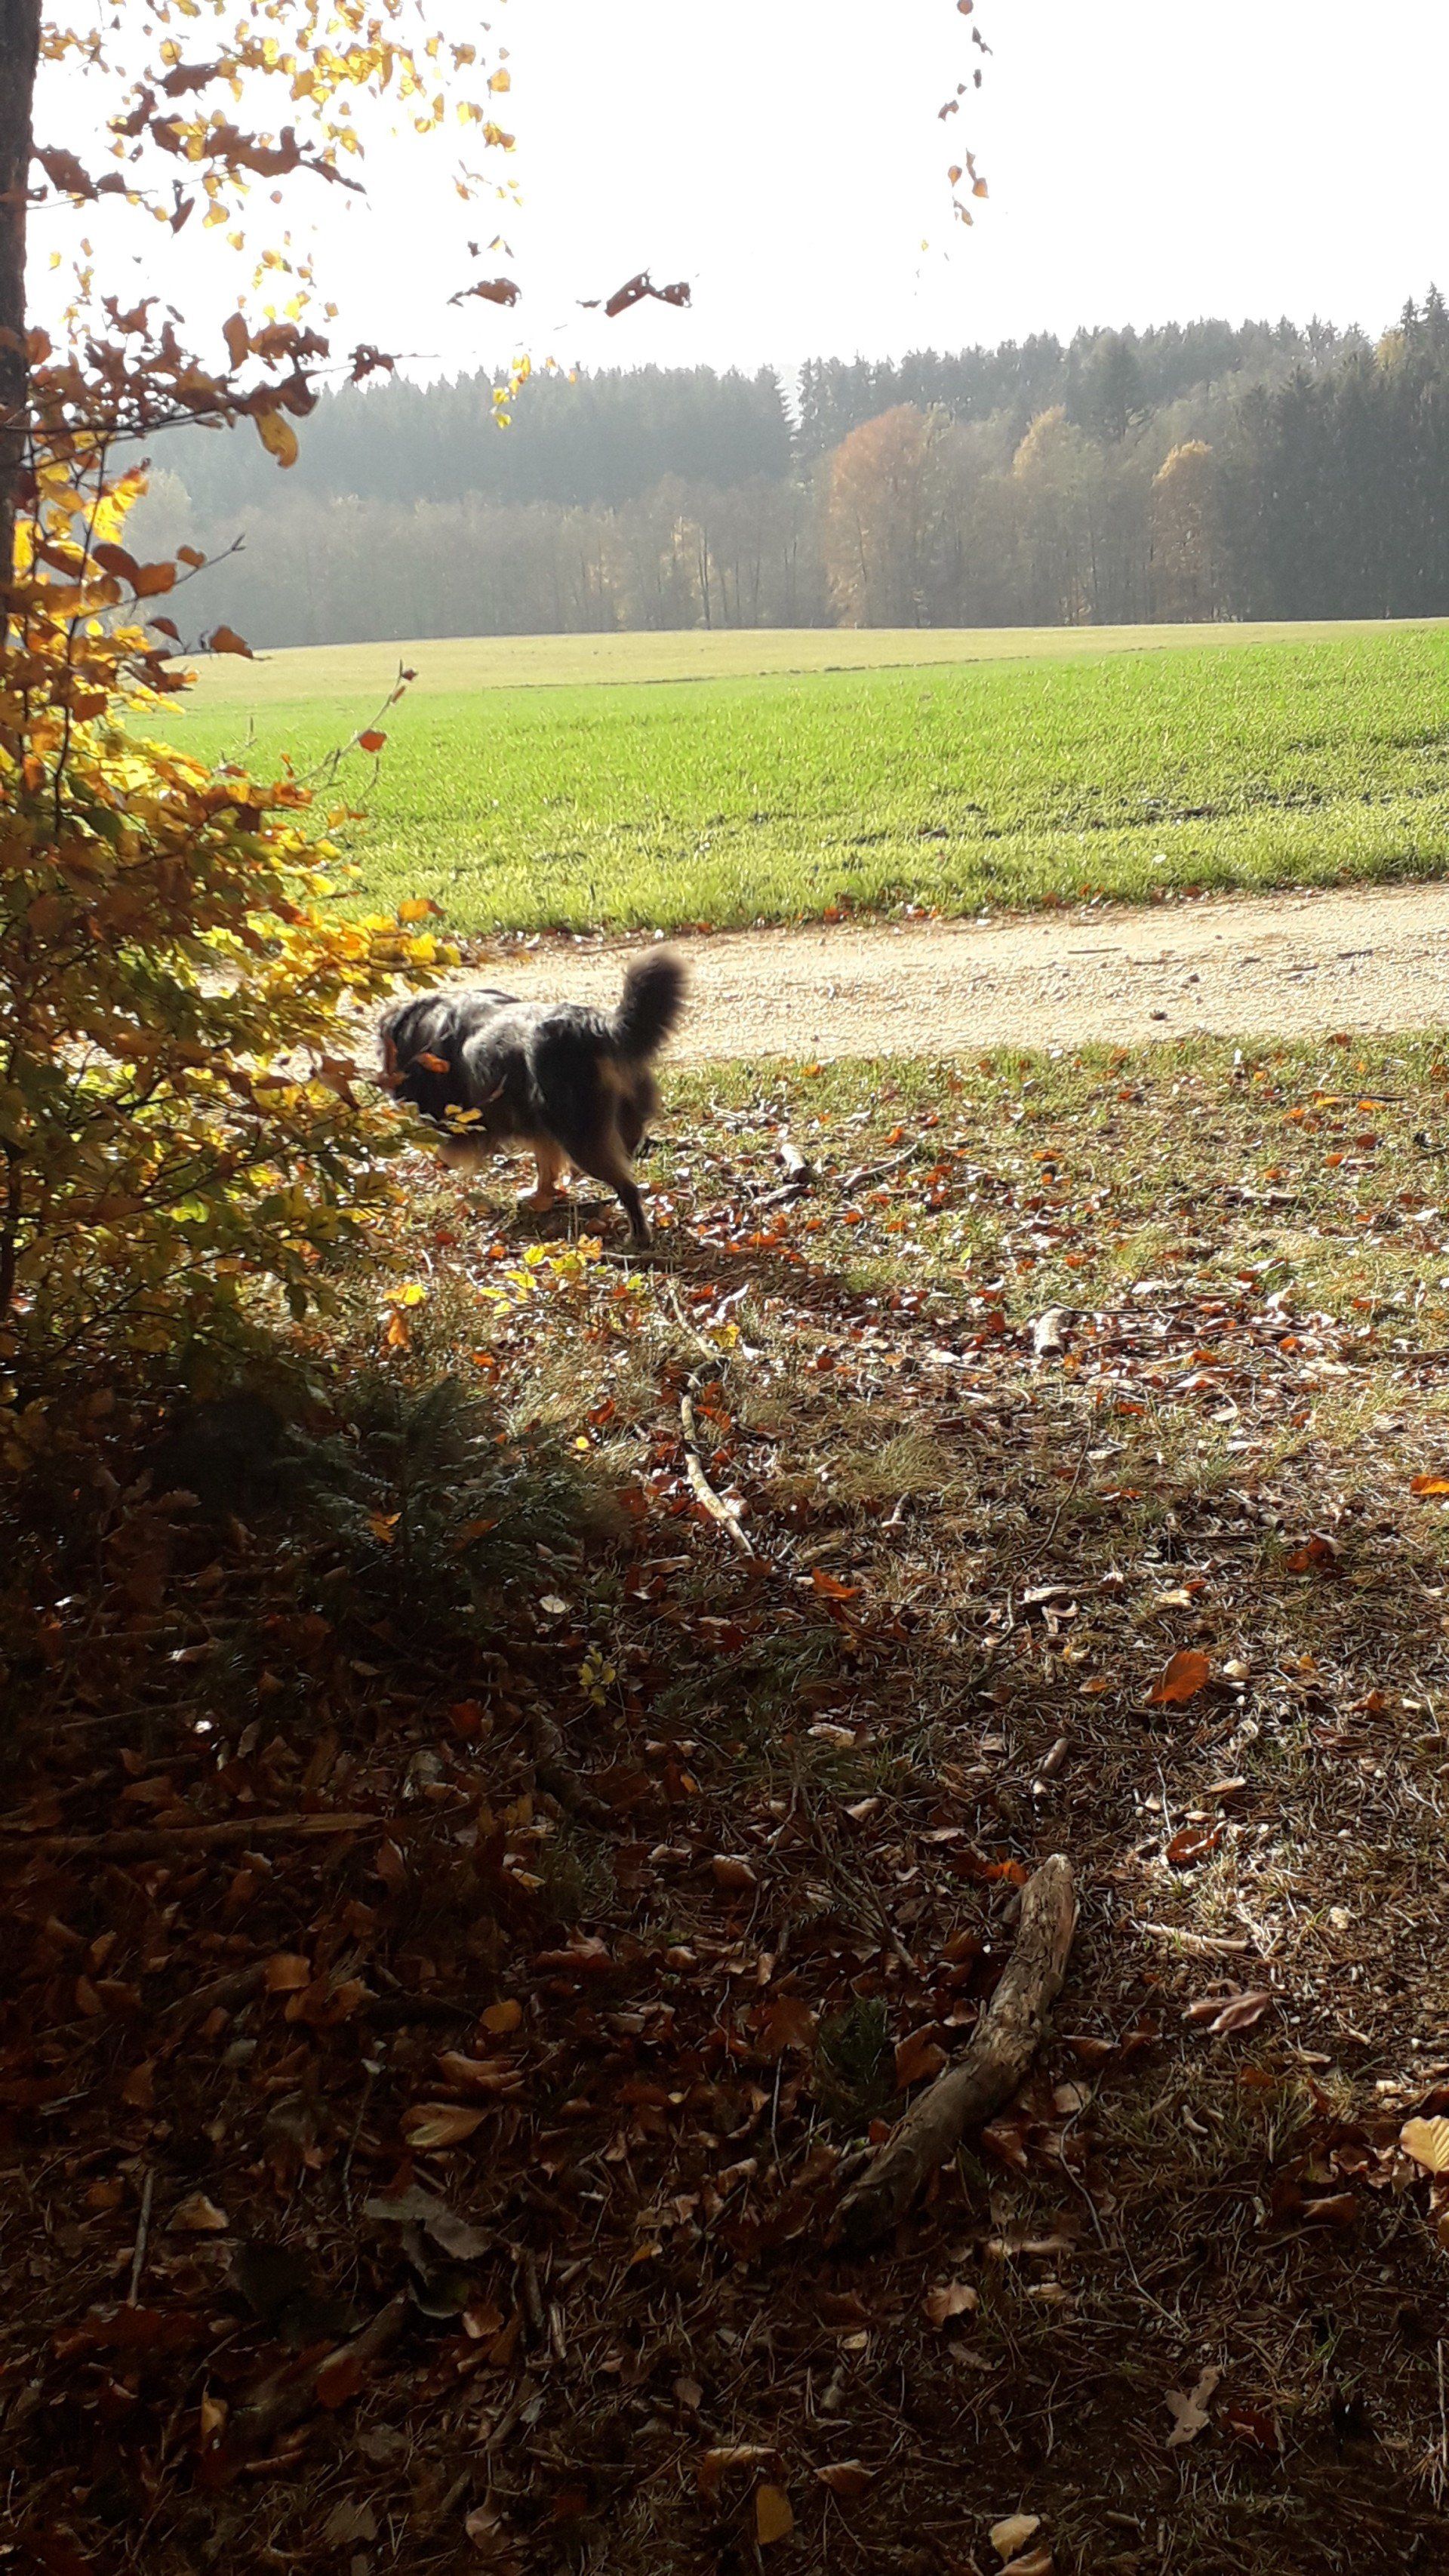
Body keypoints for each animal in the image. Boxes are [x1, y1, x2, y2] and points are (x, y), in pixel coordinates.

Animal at [379, 951, 686, 1245]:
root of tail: (598, 1027)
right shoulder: (539, 1124)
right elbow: (545, 1165)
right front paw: (542, 1198)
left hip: (580, 1136)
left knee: (627, 1187)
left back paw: (638, 1237)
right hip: (618, 1120)